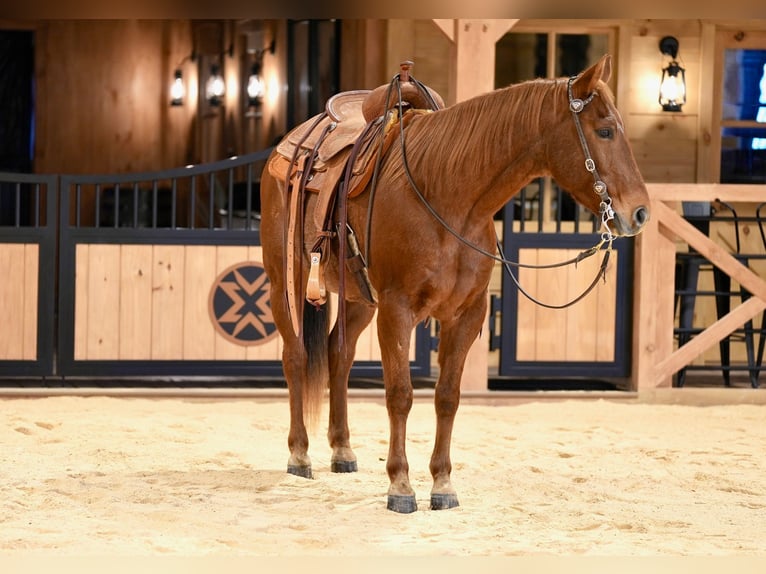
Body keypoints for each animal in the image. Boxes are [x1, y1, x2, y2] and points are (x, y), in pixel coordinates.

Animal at [259, 54, 650, 513]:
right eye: (604, 130)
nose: (640, 212)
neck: (447, 196)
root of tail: (288, 144)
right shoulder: (397, 310)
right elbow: (401, 394)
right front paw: (400, 485)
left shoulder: (467, 313)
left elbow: (447, 396)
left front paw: (442, 484)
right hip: (285, 279)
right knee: (297, 357)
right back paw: (299, 454)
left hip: (359, 298)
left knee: (340, 356)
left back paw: (342, 450)